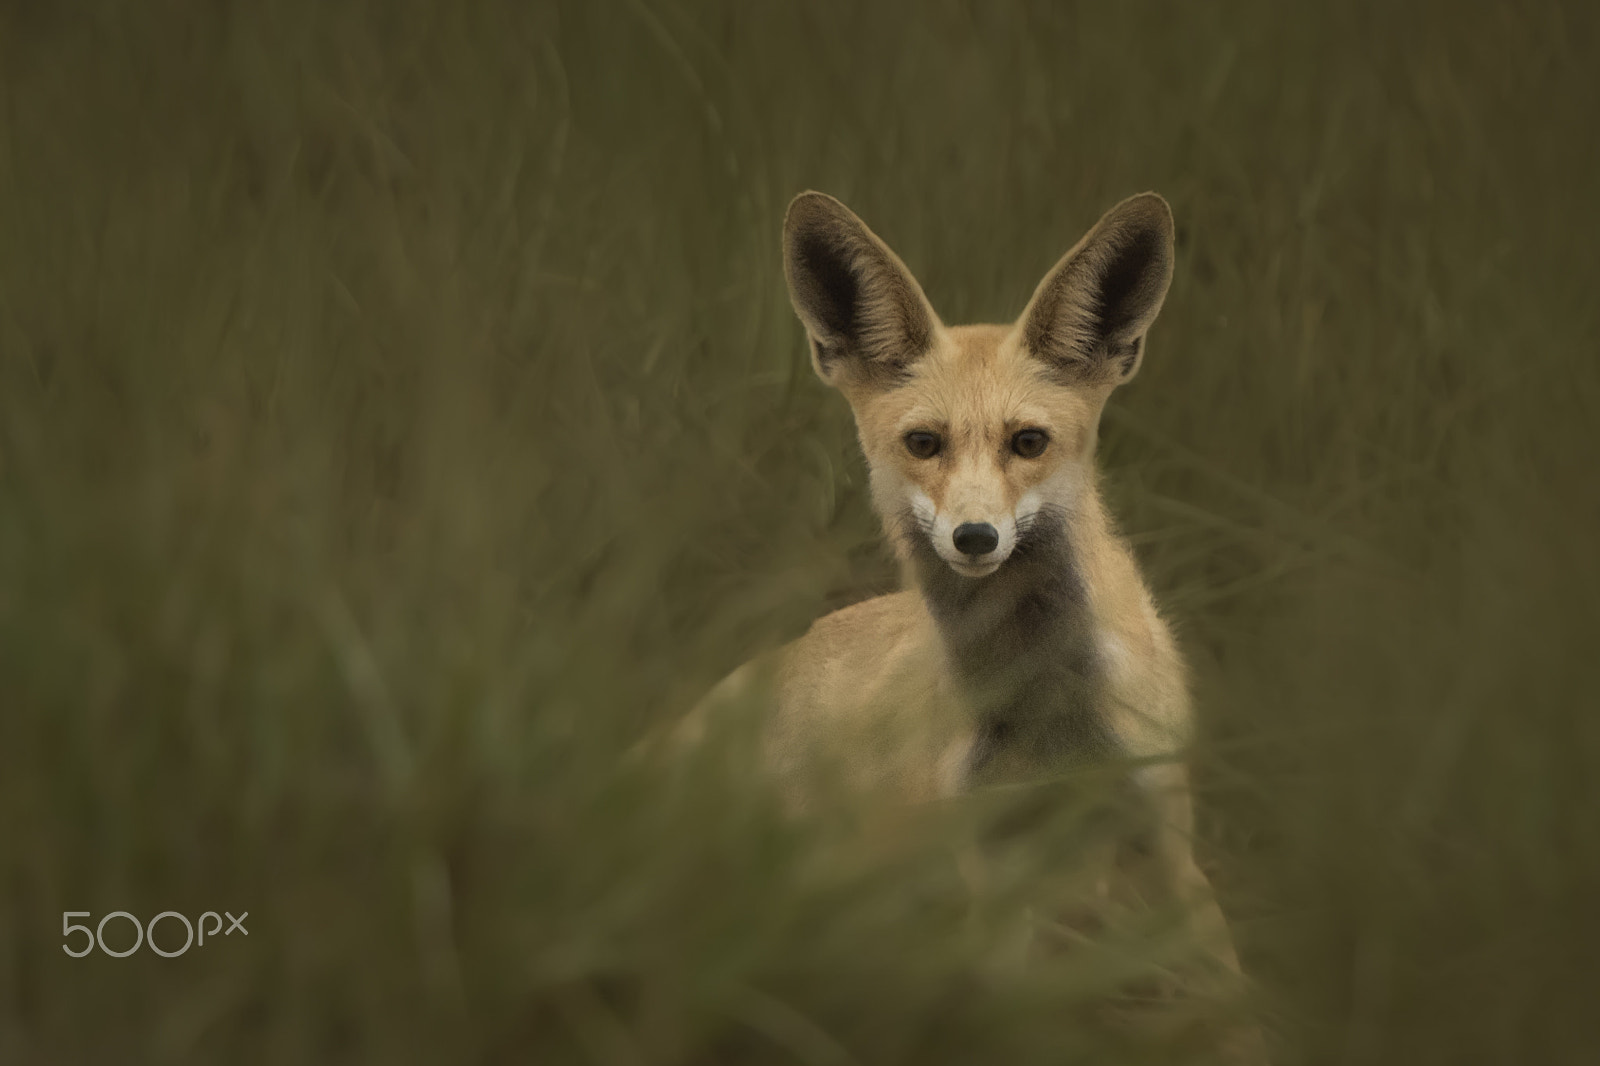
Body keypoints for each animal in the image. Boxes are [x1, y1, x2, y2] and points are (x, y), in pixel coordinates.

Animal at [675, 190, 1265, 1059]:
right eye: (925, 443)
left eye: (1029, 442)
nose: (976, 538)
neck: (1047, 707)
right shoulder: (987, 865)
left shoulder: (1164, 830)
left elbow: (1228, 1001)